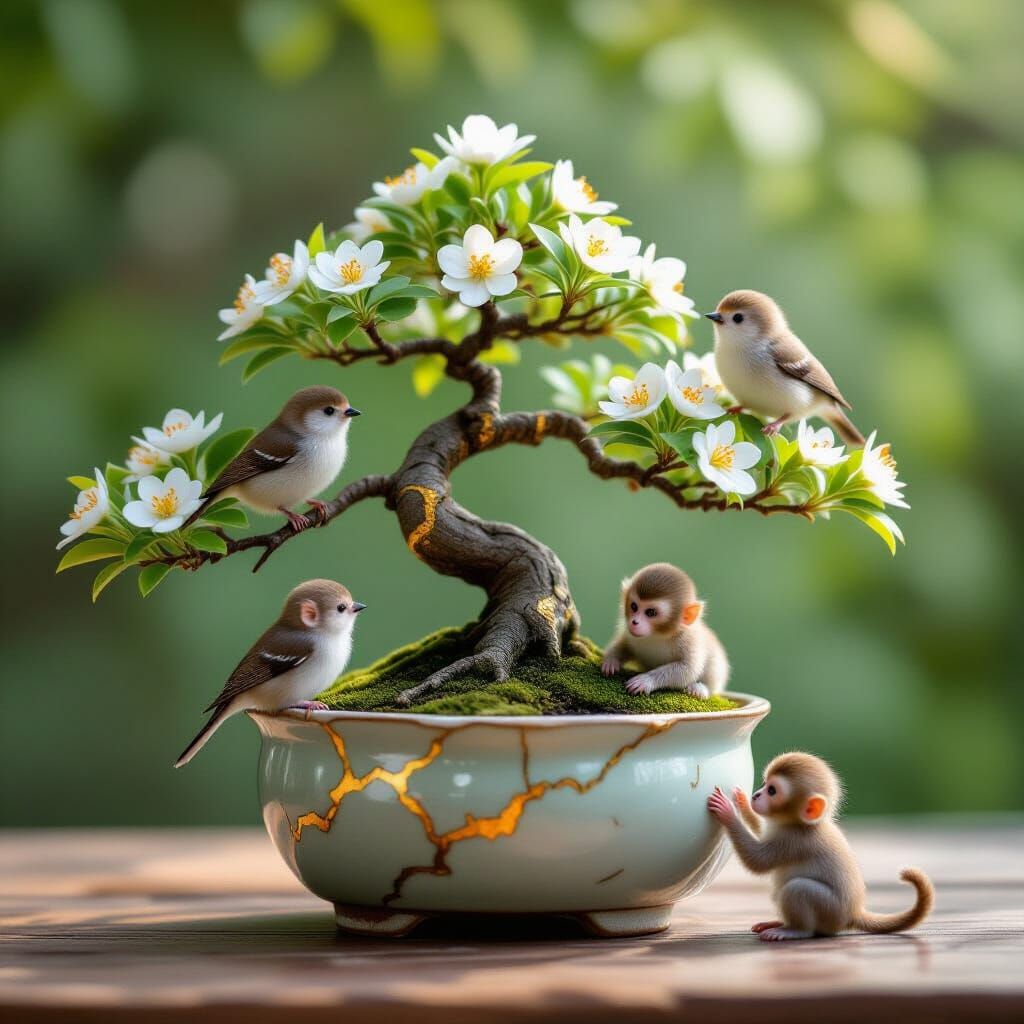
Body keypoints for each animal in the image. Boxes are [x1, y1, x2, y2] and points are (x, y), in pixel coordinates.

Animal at [601, 563, 729, 698]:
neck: (658, 635)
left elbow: (688, 669)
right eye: (634, 606)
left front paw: (646, 680)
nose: (634, 622)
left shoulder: (689, 641)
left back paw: (700, 689)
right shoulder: (630, 635)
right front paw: (611, 661)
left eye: (651, 612)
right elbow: (624, 644)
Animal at [707, 751, 934, 941]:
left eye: (772, 790)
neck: (801, 823)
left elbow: (758, 862)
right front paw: (742, 802)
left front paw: (728, 813)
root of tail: (853, 913)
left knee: (797, 889)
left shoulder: (794, 840)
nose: (756, 795)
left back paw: (794, 930)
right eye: (764, 783)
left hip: (829, 910)